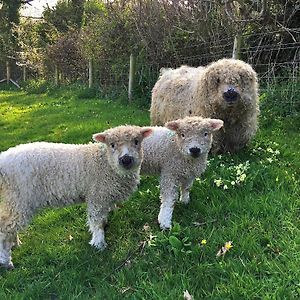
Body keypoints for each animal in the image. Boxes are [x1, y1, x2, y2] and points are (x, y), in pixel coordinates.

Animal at [0, 125, 151, 268]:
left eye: (136, 141)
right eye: (112, 144)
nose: (126, 159)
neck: (105, 163)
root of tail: (3, 160)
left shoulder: (104, 197)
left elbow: (102, 218)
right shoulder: (96, 196)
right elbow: (96, 221)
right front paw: (99, 243)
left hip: (14, 200)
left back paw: (15, 243)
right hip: (20, 198)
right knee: (5, 228)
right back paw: (6, 260)